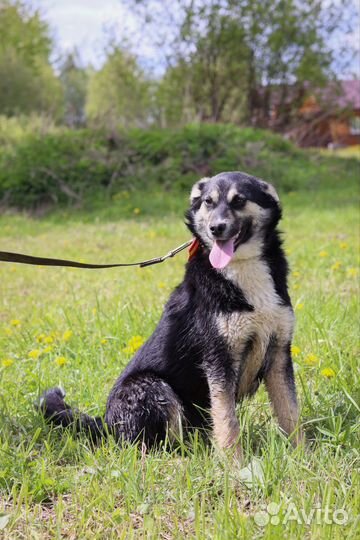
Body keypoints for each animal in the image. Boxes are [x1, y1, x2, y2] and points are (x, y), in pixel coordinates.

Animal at [39, 172, 302, 456]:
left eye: (239, 200)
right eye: (208, 202)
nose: (216, 228)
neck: (241, 268)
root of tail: (106, 425)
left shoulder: (279, 353)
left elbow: (290, 413)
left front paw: (301, 455)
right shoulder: (219, 360)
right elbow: (227, 423)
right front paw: (234, 463)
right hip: (152, 387)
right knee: (154, 446)